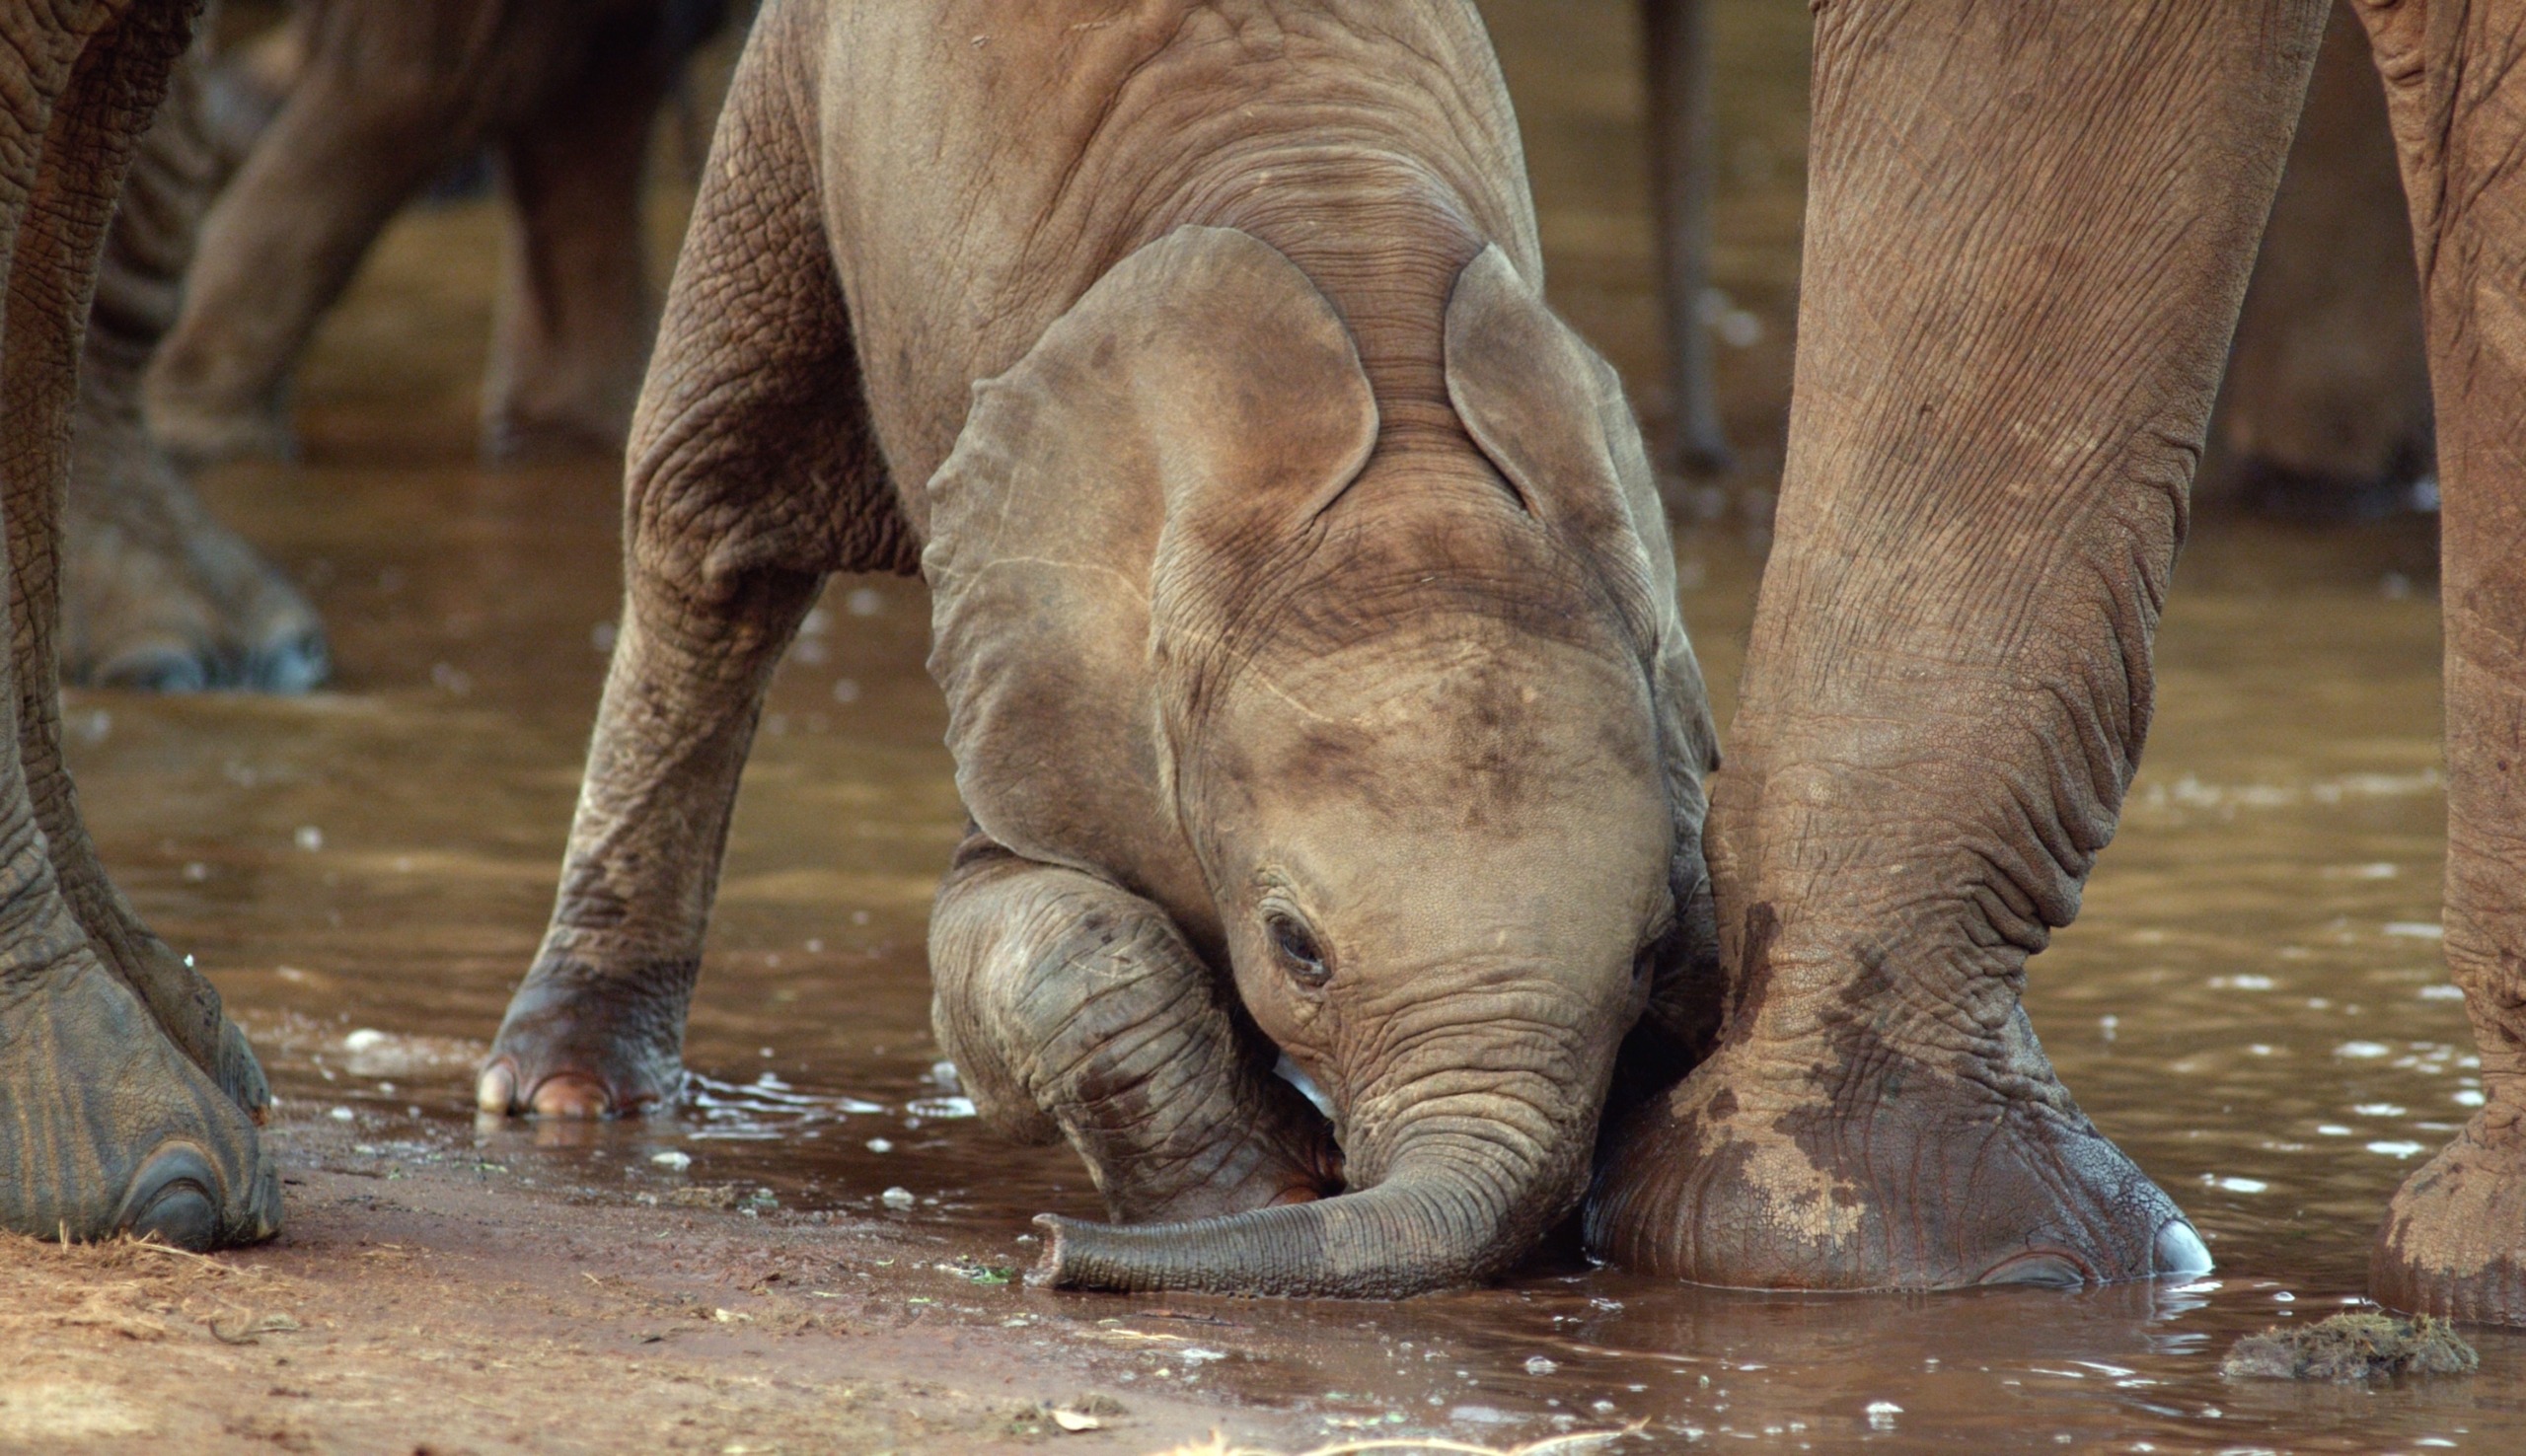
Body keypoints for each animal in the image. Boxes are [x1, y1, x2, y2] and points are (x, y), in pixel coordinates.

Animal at [470, 0, 1738, 1291]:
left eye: (1643, 955)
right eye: (1297, 950)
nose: (1040, 1253)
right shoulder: (1045, 676)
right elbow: (1025, 932)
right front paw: (1261, 1187)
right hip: (789, 106)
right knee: (710, 519)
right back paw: (567, 1094)